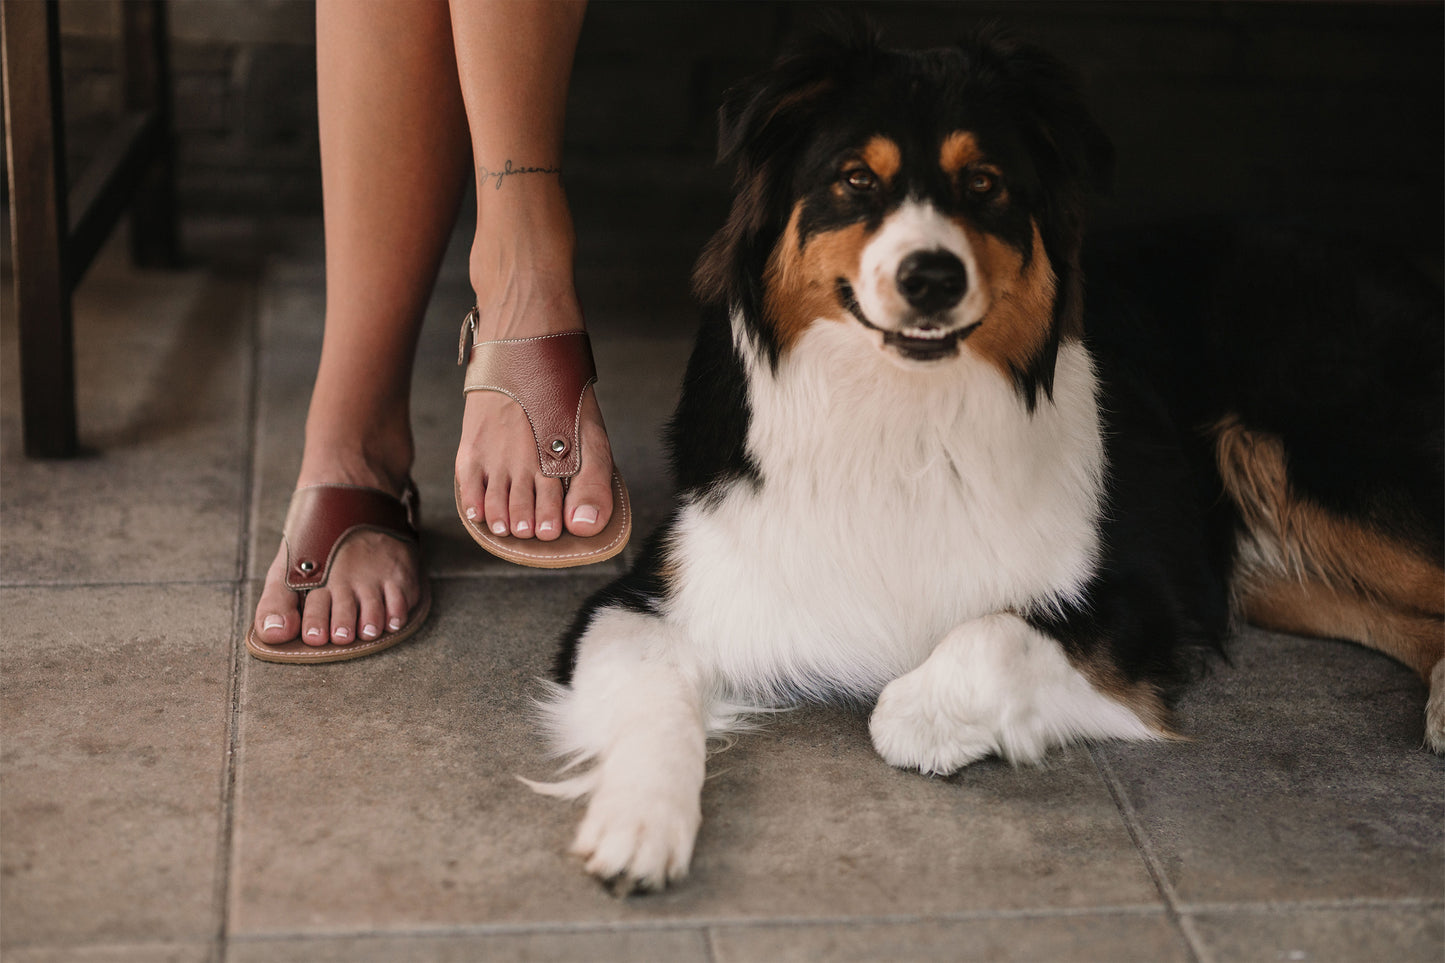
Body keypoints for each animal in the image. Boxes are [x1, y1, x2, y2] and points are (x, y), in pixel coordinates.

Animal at [528, 26, 1445, 890]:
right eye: (854, 179)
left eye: (984, 183)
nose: (930, 276)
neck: (899, 417)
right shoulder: (645, 596)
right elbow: (655, 703)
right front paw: (638, 824)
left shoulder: (1146, 596)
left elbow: (982, 639)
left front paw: (923, 720)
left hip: (1324, 462)